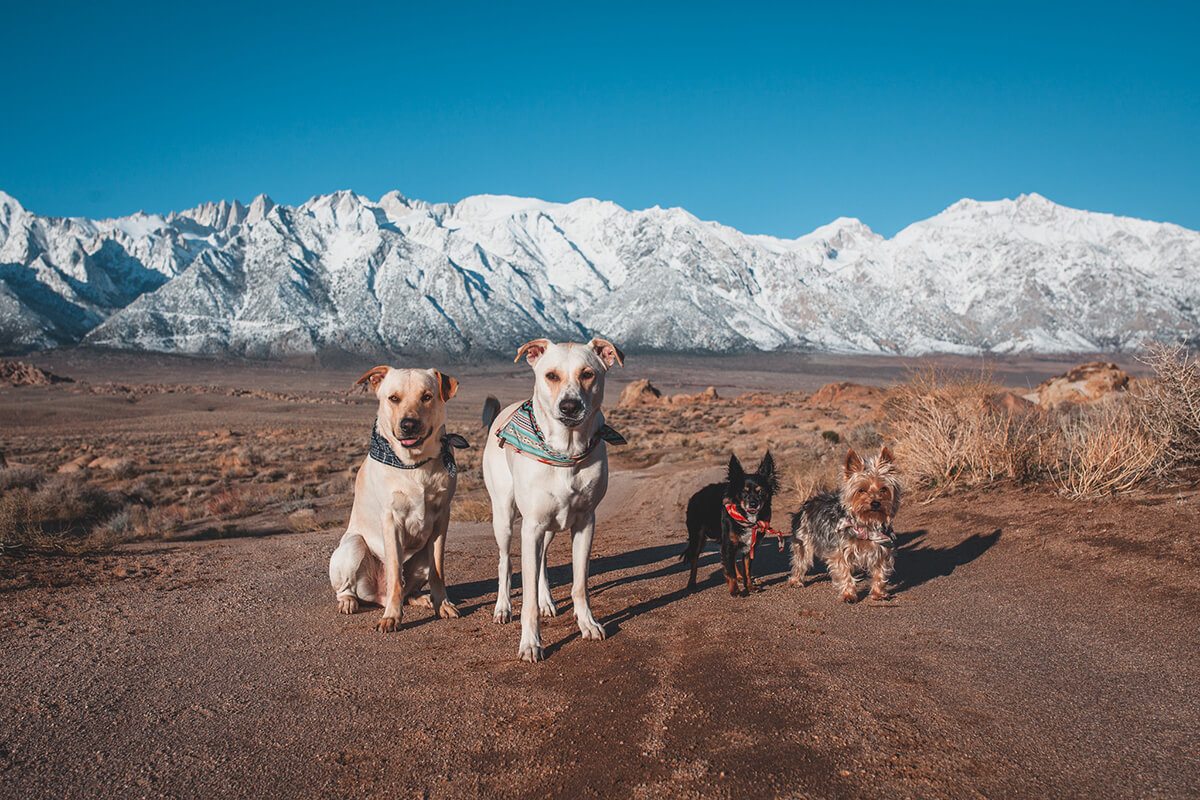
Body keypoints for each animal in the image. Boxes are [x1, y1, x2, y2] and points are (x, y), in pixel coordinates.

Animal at [331, 367, 465, 633]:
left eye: (427, 396)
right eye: (393, 398)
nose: (409, 424)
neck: (414, 464)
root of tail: (378, 597)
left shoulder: (441, 518)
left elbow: (438, 570)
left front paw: (442, 604)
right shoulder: (391, 521)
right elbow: (394, 574)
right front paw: (392, 617)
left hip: (421, 557)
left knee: (409, 589)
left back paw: (422, 598)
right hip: (354, 545)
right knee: (352, 588)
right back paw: (350, 602)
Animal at [480, 338, 624, 662]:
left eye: (588, 374)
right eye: (551, 376)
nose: (570, 406)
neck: (566, 451)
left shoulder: (585, 523)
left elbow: (579, 583)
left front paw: (587, 623)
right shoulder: (531, 525)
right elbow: (527, 598)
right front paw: (530, 643)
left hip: (548, 527)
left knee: (542, 560)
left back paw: (546, 600)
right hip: (505, 518)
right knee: (506, 563)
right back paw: (503, 607)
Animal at [681, 453, 782, 597]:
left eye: (761, 491)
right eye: (744, 492)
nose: (753, 504)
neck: (746, 518)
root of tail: (695, 495)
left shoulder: (749, 547)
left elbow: (746, 570)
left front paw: (749, 587)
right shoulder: (728, 545)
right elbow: (730, 571)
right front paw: (735, 591)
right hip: (697, 537)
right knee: (694, 560)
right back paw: (691, 583)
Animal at [787, 448, 902, 604]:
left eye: (884, 489)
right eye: (861, 490)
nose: (875, 503)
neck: (866, 526)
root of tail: (809, 502)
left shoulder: (882, 550)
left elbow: (880, 573)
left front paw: (878, 593)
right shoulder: (840, 552)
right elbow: (844, 573)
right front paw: (848, 595)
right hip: (803, 540)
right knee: (800, 560)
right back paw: (795, 580)